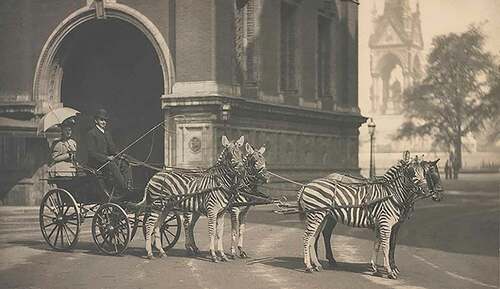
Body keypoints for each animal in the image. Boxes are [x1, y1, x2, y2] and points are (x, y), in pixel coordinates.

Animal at [296, 158, 442, 276]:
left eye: (424, 174)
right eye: (411, 173)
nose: (436, 195)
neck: (392, 194)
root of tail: (306, 185)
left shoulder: (382, 224)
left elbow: (377, 245)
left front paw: (375, 268)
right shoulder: (387, 223)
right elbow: (387, 246)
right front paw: (390, 270)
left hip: (322, 215)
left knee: (313, 237)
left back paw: (317, 265)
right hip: (316, 215)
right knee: (307, 237)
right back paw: (309, 266)